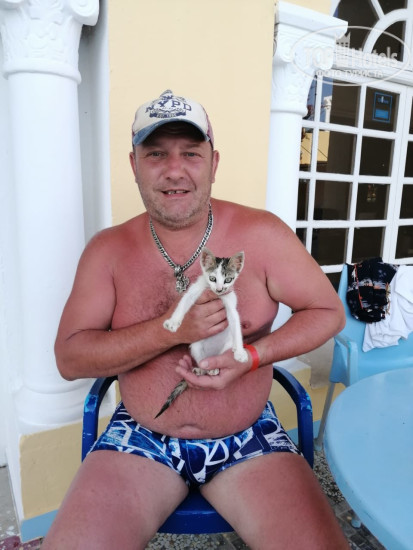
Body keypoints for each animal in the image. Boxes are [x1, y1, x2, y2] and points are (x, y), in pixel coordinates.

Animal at [155, 247, 248, 418]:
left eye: (228, 280)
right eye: (212, 278)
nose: (219, 289)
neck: (215, 295)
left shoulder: (230, 303)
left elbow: (235, 321)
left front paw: (240, 352)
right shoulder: (195, 290)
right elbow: (184, 302)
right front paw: (173, 322)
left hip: (224, 348)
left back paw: (216, 366)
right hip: (197, 348)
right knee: (203, 363)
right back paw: (201, 369)